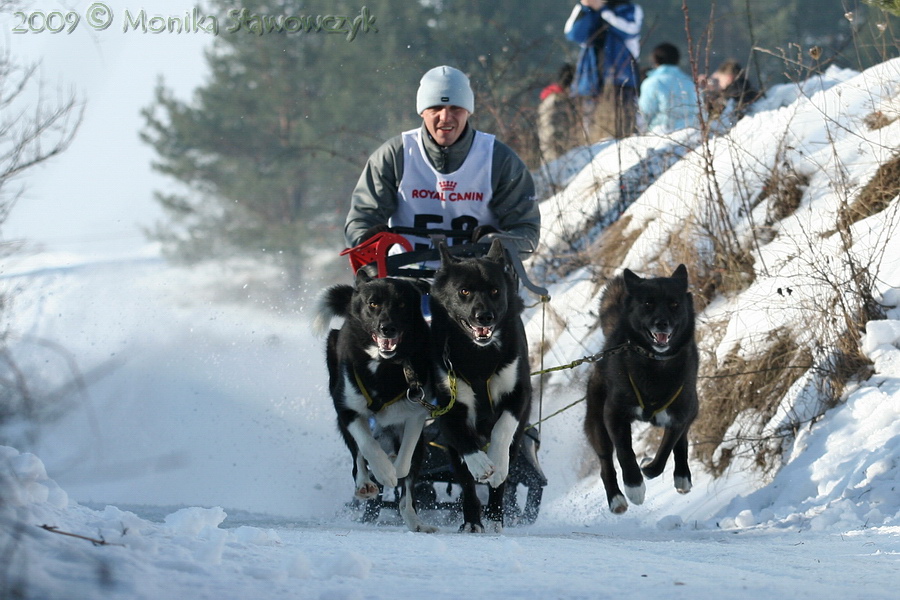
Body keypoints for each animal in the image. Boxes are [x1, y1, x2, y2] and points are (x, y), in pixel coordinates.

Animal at [314, 270, 438, 532]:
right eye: (373, 303)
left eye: (401, 304)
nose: (387, 328)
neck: (384, 366)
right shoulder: (348, 411)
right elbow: (368, 447)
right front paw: (382, 473)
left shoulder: (416, 414)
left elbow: (405, 462)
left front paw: (394, 468)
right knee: (358, 457)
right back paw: (365, 483)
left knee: (407, 492)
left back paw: (414, 521)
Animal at [430, 241, 536, 532]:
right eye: (464, 291)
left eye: (495, 291)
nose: (484, 316)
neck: (478, 357)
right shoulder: (448, 405)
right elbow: (465, 445)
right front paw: (479, 464)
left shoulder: (518, 394)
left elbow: (503, 429)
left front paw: (496, 462)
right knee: (465, 480)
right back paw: (472, 521)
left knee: (504, 473)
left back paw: (494, 517)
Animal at [584, 264, 704, 512]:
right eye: (648, 303)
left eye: (674, 304)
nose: (662, 323)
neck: (655, 365)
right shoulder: (614, 414)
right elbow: (624, 452)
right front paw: (634, 486)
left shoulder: (680, 415)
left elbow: (667, 450)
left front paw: (648, 467)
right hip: (597, 424)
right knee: (605, 463)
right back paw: (616, 499)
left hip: (691, 408)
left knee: (682, 441)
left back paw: (682, 477)